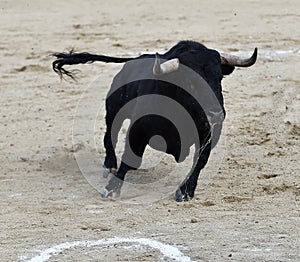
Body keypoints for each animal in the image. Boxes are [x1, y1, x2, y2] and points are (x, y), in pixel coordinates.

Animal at [52, 40, 258, 201]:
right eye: (189, 82)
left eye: (219, 77)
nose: (216, 114)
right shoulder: (138, 129)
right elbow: (130, 159)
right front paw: (111, 189)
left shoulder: (208, 135)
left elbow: (199, 162)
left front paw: (186, 191)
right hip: (114, 110)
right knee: (110, 135)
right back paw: (109, 165)